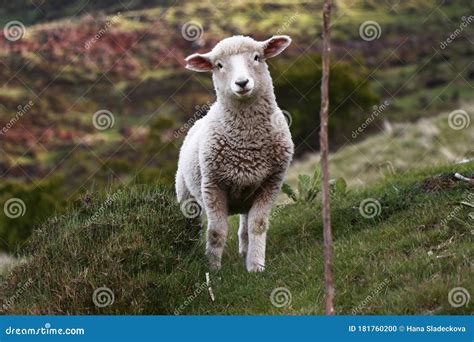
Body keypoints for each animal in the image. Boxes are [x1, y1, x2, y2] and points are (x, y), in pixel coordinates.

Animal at [175, 35, 292, 272]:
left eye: (257, 57)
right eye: (219, 65)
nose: (242, 83)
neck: (248, 141)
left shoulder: (271, 183)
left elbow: (257, 225)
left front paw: (256, 266)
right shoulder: (212, 186)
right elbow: (216, 232)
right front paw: (213, 268)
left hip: (247, 194)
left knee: (244, 227)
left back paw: (245, 253)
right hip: (186, 196)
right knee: (189, 227)